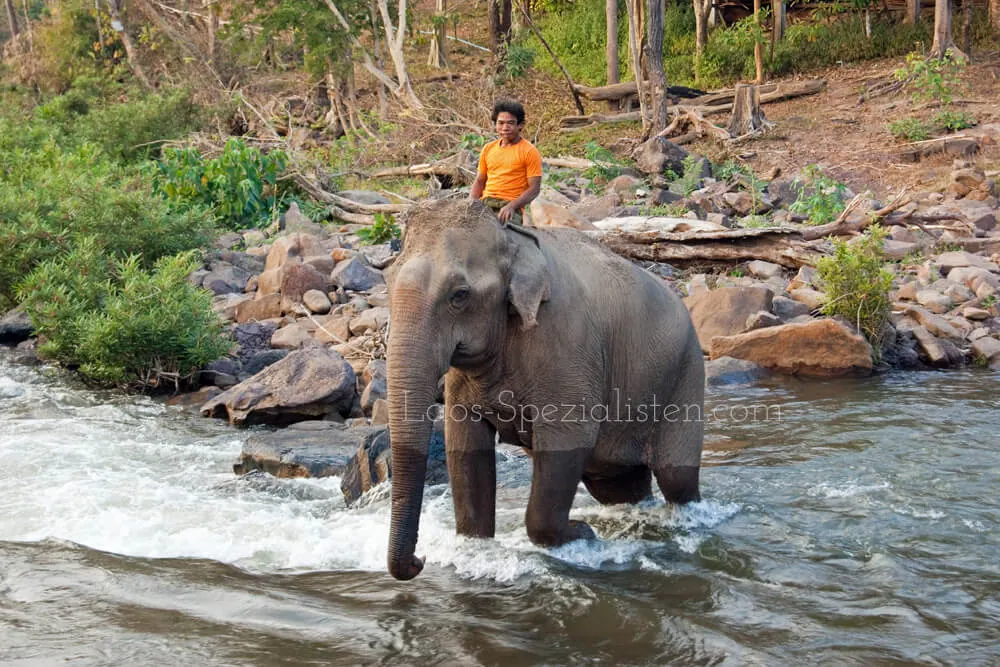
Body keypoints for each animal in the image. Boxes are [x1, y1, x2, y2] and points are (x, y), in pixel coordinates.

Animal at [383, 198, 705, 581]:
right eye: (388, 282)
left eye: (459, 295)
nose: (420, 560)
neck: (513, 241)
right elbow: (464, 443)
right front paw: (475, 545)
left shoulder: (567, 346)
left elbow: (568, 438)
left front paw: (582, 534)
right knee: (618, 484)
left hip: (686, 374)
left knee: (677, 478)